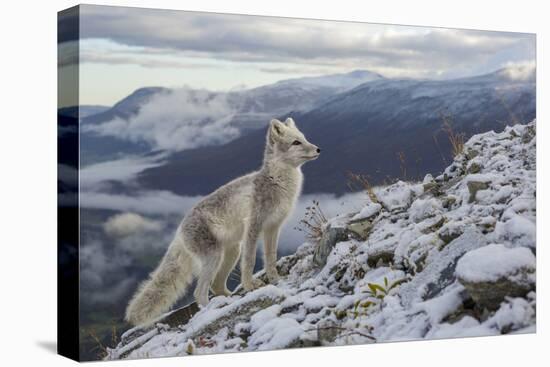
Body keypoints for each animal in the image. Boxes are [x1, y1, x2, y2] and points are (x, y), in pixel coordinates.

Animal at [125, 118, 322, 328]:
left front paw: (276, 279)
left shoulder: (273, 228)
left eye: (304, 138)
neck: (277, 182)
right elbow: (250, 261)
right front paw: (250, 285)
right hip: (215, 256)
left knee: (216, 286)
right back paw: (210, 311)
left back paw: (229, 299)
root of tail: (179, 231)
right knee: (200, 292)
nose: (318, 149)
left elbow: (270, 258)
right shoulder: (253, 227)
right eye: (296, 143)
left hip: (231, 251)